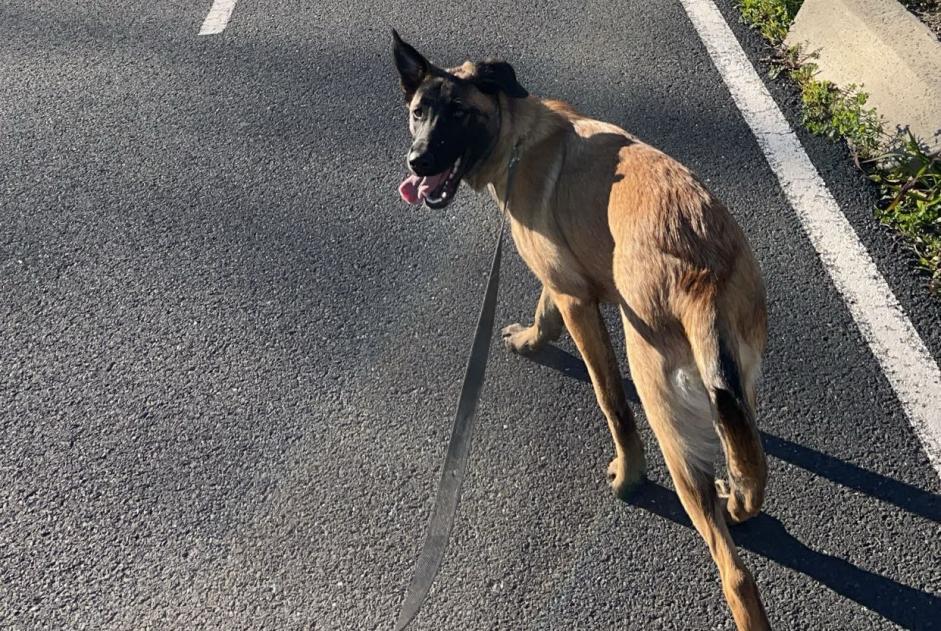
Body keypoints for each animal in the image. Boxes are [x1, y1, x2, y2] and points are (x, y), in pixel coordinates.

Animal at [392, 30, 768, 631]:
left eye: (458, 113)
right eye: (418, 112)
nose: (418, 160)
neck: (518, 136)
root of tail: (702, 277)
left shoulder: (578, 304)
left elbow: (609, 398)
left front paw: (628, 475)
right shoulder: (562, 282)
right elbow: (543, 313)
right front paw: (529, 341)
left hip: (663, 409)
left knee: (735, 571)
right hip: (734, 388)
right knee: (750, 466)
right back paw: (737, 501)